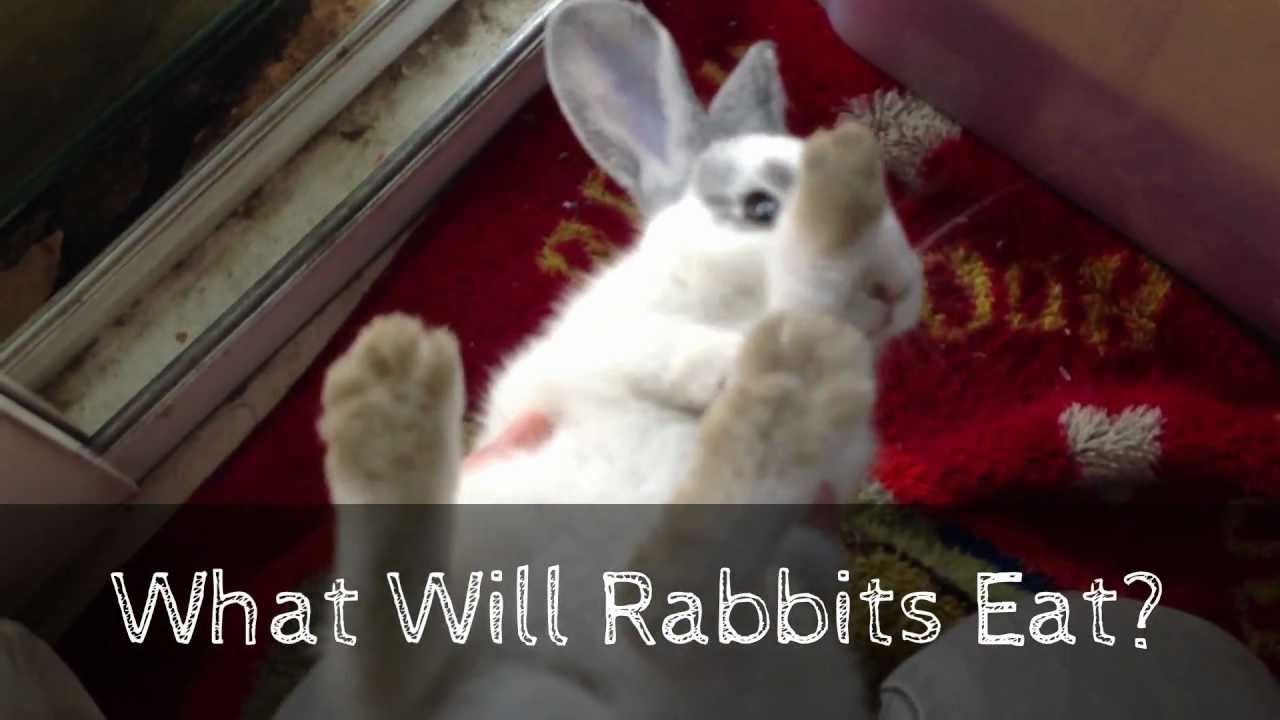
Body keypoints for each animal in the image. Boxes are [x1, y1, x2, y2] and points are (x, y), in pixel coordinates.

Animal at [286, 1, 926, 718]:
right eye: (760, 207)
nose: (895, 289)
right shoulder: (603, 341)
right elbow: (663, 349)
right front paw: (738, 364)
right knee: (385, 662)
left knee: (672, 592)